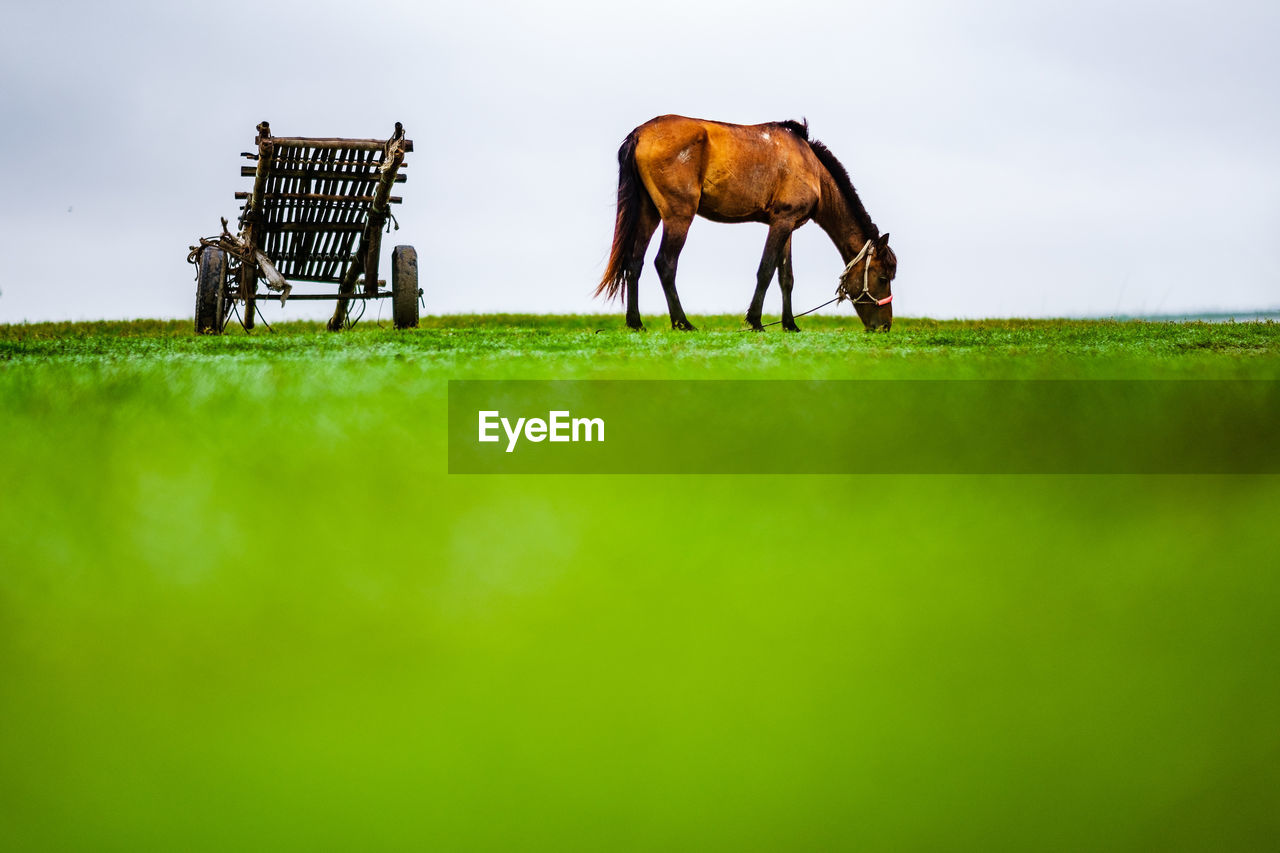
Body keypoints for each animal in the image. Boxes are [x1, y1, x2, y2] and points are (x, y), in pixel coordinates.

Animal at [593, 115, 896, 333]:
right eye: (883, 277)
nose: (884, 327)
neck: (811, 167)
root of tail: (640, 133)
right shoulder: (781, 222)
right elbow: (766, 270)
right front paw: (756, 321)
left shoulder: (787, 226)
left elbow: (786, 277)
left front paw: (790, 325)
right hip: (678, 216)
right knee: (665, 263)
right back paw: (683, 323)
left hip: (649, 214)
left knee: (634, 263)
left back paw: (636, 323)